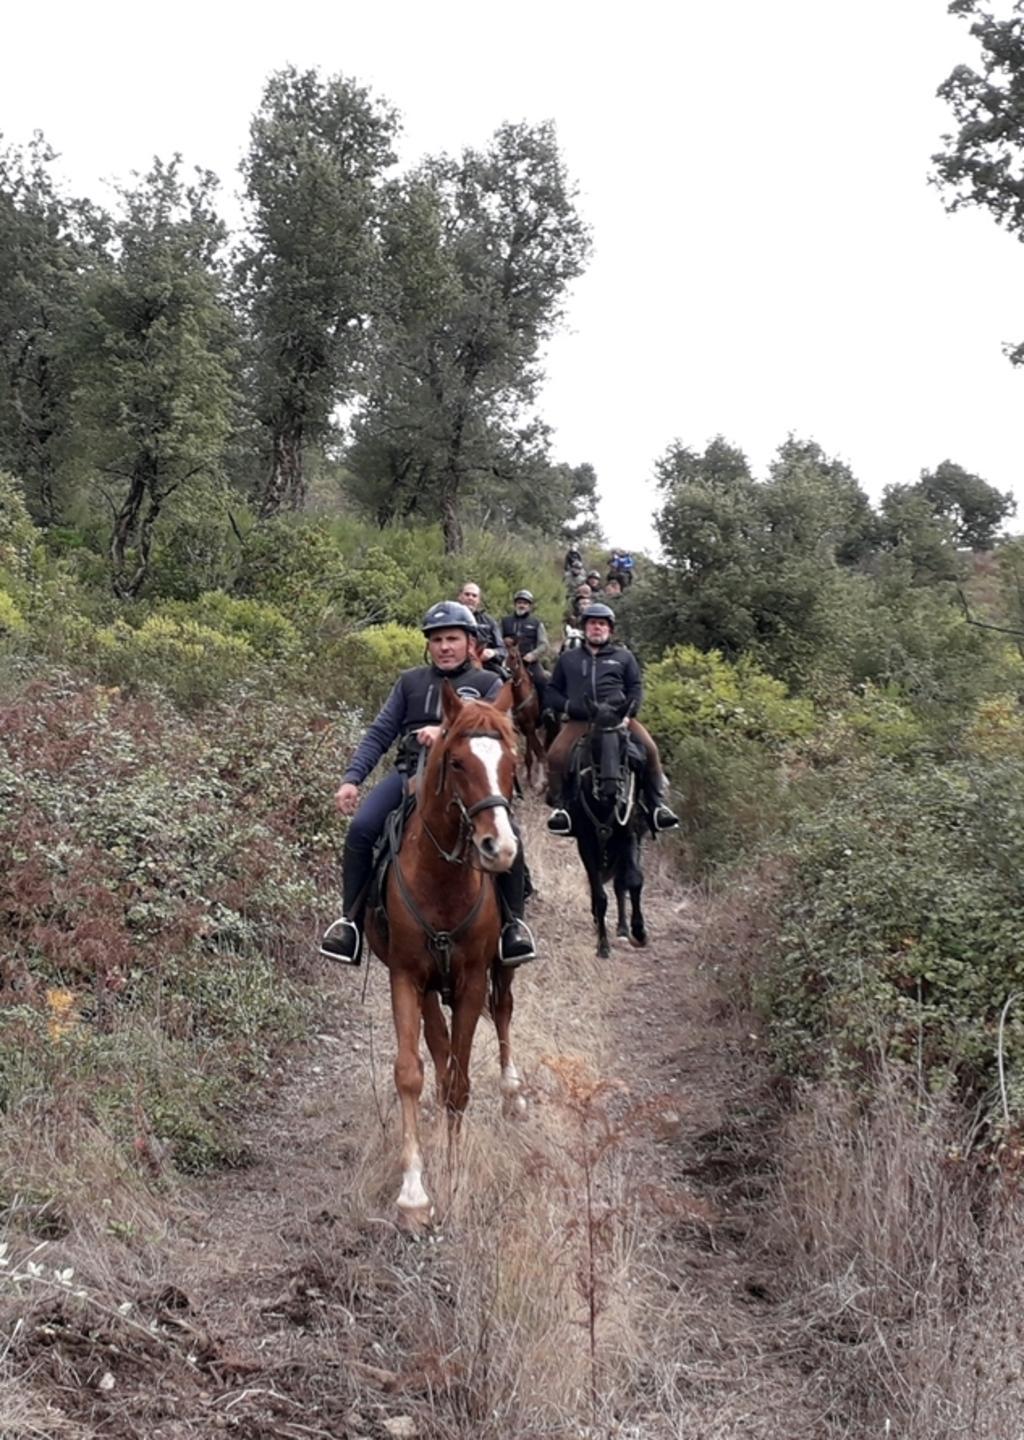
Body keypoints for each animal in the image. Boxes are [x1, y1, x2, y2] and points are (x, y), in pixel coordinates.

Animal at [365, 680, 525, 1230]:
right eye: (456, 762)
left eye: (512, 761)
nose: (499, 849)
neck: (443, 882)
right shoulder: (407, 977)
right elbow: (413, 1072)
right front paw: (414, 1194)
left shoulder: (474, 978)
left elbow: (460, 1080)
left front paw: (455, 1171)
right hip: (435, 986)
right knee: (437, 1049)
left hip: (500, 969)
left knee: (504, 1012)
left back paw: (513, 1090)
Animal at [504, 636, 549, 789]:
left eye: (513, 656)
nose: (506, 672)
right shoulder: (521, 729)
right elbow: (526, 755)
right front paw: (527, 778)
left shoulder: (529, 727)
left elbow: (533, 755)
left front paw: (537, 782)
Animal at [563, 702, 648, 958]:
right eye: (595, 741)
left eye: (623, 741)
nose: (611, 789)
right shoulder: (586, 842)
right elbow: (600, 894)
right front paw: (602, 945)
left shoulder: (629, 836)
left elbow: (633, 880)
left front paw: (639, 932)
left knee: (621, 883)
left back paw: (623, 928)